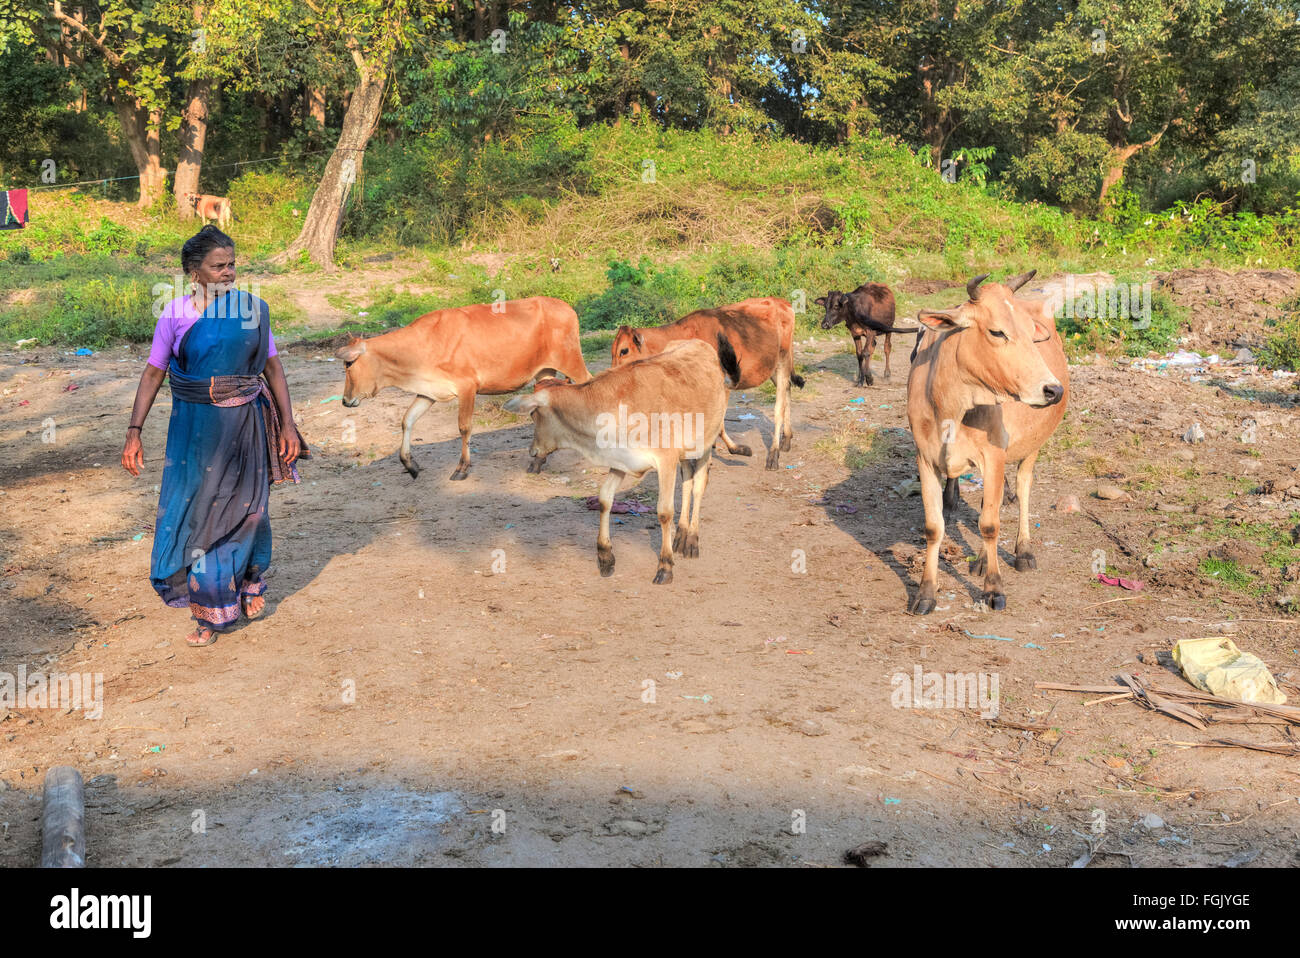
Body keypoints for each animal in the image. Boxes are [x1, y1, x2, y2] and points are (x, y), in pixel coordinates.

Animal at [340, 295, 595, 478]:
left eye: (349, 364)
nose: (345, 400)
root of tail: (567, 307)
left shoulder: (466, 387)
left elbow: (464, 427)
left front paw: (461, 468)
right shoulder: (428, 391)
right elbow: (407, 420)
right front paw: (410, 465)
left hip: (572, 361)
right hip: (544, 372)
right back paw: (537, 462)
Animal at [501, 335, 738, 582]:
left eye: (533, 414)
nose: (532, 451)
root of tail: (699, 343)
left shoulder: (666, 460)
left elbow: (664, 511)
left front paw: (665, 566)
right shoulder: (621, 459)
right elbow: (605, 499)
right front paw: (605, 556)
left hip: (707, 441)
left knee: (699, 485)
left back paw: (691, 539)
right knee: (688, 480)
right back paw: (681, 535)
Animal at [608, 295, 800, 467]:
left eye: (624, 351)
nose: (612, 372)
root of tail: (783, 302)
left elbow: (718, 424)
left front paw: (736, 449)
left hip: (783, 359)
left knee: (779, 405)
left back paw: (774, 454)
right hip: (773, 367)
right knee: (787, 391)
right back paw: (787, 439)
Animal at [904, 269, 1066, 613]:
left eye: (1031, 334)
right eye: (997, 332)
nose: (1053, 389)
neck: (951, 407)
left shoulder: (993, 457)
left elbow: (990, 525)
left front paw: (993, 588)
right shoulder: (925, 458)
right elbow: (934, 527)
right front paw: (926, 593)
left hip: (1032, 446)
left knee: (1021, 488)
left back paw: (1022, 551)